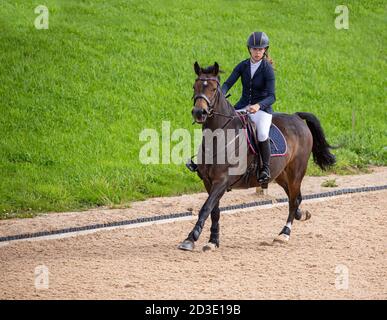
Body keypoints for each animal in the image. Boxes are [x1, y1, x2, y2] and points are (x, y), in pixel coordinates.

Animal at [177, 62, 334, 251]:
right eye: (195, 87)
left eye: (214, 89)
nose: (199, 112)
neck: (218, 137)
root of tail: (296, 117)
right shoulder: (208, 181)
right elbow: (214, 211)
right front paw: (213, 241)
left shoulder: (222, 180)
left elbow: (206, 208)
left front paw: (190, 238)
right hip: (280, 175)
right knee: (295, 198)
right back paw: (301, 215)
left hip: (296, 173)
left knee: (293, 200)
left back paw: (284, 234)